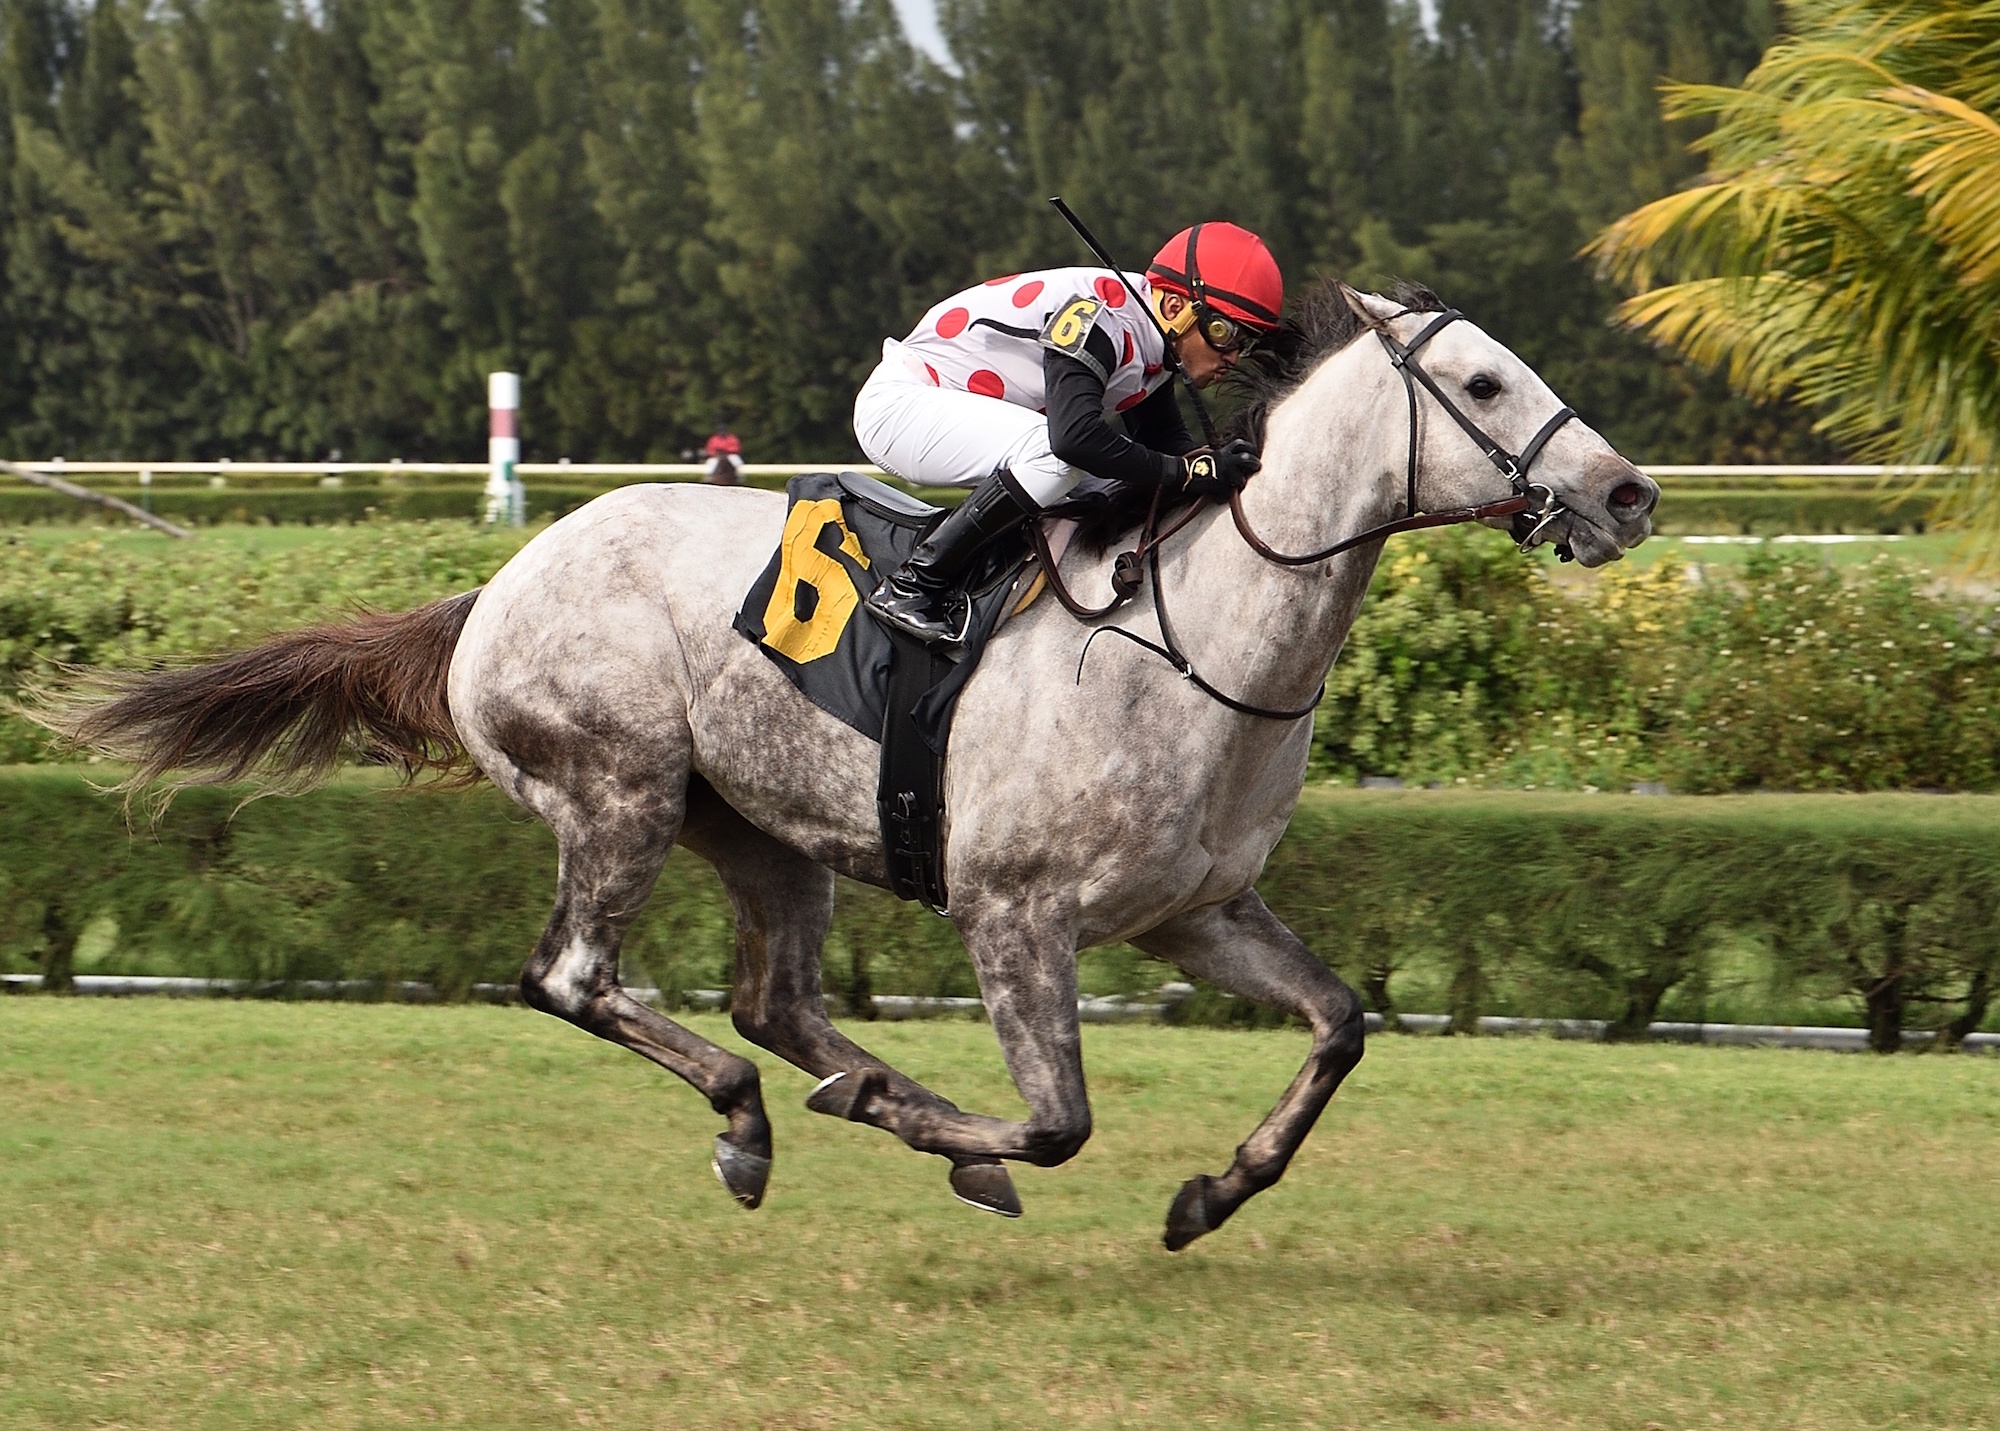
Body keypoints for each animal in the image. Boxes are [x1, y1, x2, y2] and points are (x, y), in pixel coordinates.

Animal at [54, 279, 1664, 1239]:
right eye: (1483, 383)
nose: (1628, 493)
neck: (1196, 640)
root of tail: (496, 588)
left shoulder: (1195, 911)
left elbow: (1337, 1024)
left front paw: (1211, 1191)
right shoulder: (1014, 912)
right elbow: (1061, 1119)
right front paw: (948, 1126)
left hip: (762, 832)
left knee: (773, 999)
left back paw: (855, 1107)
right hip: (617, 790)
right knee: (577, 979)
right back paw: (763, 1122)